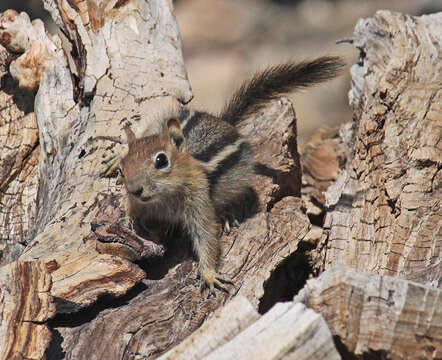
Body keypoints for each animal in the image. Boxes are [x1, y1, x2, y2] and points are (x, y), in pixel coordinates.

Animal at [118, 56, 346, 296]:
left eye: (161, 161)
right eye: (122, 167)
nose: (135, 189)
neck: (163, 198)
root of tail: (224, 122)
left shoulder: (198, 200)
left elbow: (207, 236)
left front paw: (209, 274)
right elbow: (134, 210)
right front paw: (128, 218)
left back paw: (226, 216)